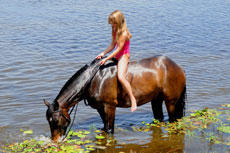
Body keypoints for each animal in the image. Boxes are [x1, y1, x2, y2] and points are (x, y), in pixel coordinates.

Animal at [44, 55, 186, 142]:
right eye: (48, 121)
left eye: (55, 120)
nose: (55, 141)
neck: (94, 80)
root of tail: (178, 67)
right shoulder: (100, 108)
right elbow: (105, 126)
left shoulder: (109, 107)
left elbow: (110, 130)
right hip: (156, 99)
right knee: (159, 118)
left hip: (171, 102)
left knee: (173, 121)